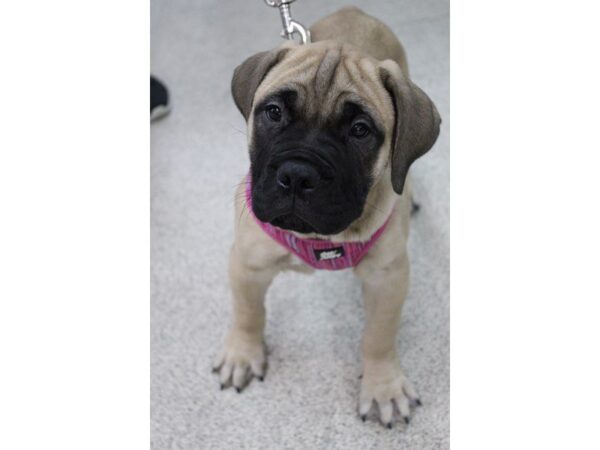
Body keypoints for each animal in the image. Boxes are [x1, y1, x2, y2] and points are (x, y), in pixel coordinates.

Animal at [213, 7, 438, 428]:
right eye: (273, 113)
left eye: (360, 130)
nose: (298, 174)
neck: (322, 240)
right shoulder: (247, 265)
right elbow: (249, 312)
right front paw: (243, 354)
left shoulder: (387, 279)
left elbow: (379, 336)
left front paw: (383, 387)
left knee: (404, 169)